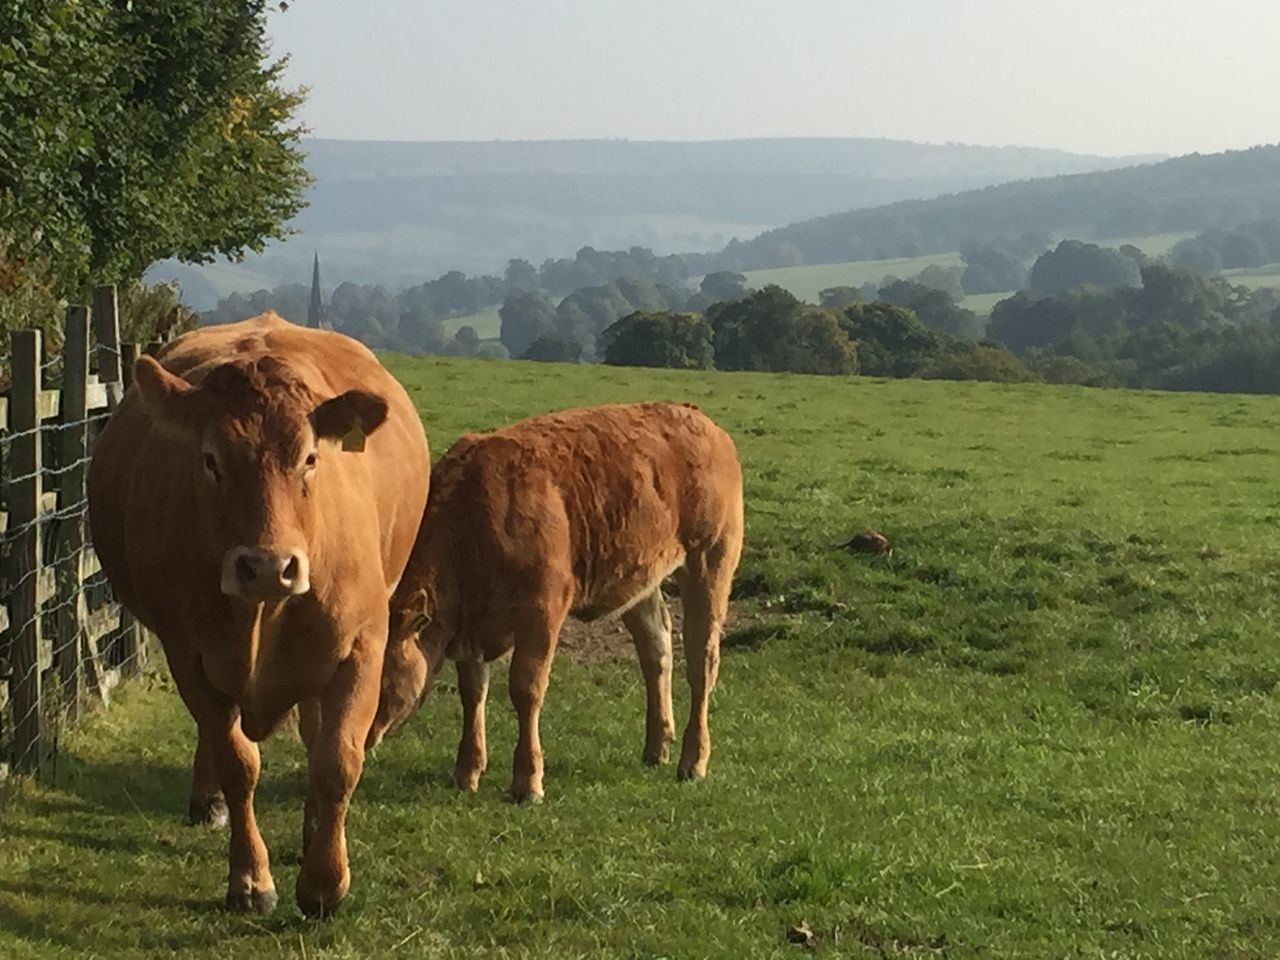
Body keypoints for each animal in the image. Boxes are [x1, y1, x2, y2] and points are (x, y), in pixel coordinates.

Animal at [91, 313, 430, 916]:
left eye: (310, 458)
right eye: (210, 460)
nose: (269, 566)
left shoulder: (362, 645)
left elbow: (336, 760)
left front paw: (323, 879)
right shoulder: (188, 655)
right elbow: (237, 761)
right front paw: (251, 879)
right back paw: (208, 802)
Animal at [371, 401, 747, 798]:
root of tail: (705, 422)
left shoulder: (542, 612)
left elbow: (526, 688)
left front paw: (527, 780)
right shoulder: (470, 629)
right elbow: (473, 692)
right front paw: (467, 771)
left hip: (709, 564)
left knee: (701, 662)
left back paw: (693, 760)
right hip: (641, 580)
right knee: (655, 649)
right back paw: (656, 746)